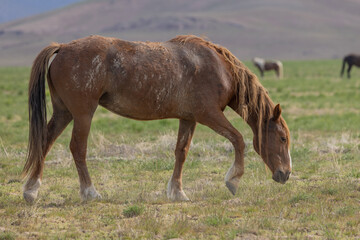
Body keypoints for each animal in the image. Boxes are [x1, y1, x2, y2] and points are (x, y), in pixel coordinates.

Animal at [21, 34, 292, 202]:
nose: (286, 174)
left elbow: (181, 152)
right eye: (282, 138)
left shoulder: (189, 119)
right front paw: (233, 180)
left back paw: (31, 190)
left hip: (64, 112)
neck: (219, 68)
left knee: (45, 141)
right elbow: (238, 140)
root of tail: (63, 47)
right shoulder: (209, 115)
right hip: (83, 114)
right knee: (77, 148)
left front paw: (177, 192)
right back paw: (90, 192)